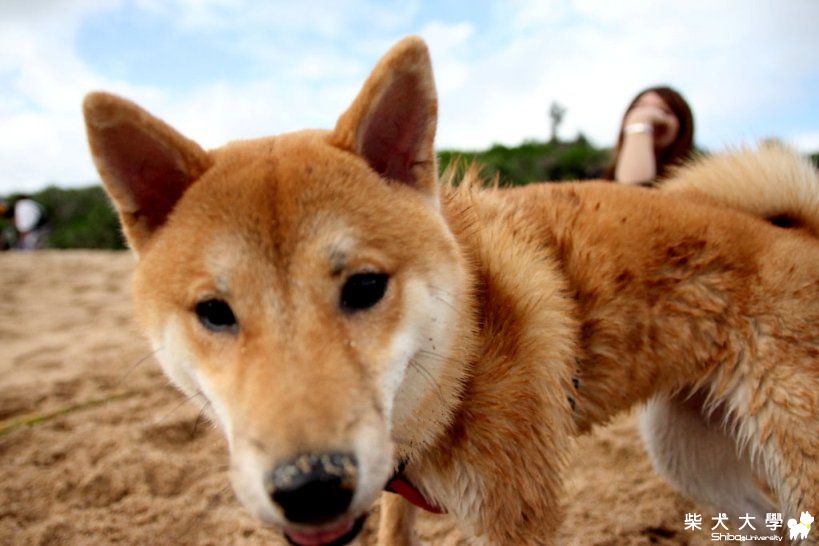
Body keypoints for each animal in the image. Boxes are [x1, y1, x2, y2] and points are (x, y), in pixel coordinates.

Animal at [83, 36, 818, 545]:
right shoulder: (394, 486)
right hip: (688, 452)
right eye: (214, 312)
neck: (466, 343)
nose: (312, 488)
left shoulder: (517, 513)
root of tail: (797, 233)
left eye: (365, 286)